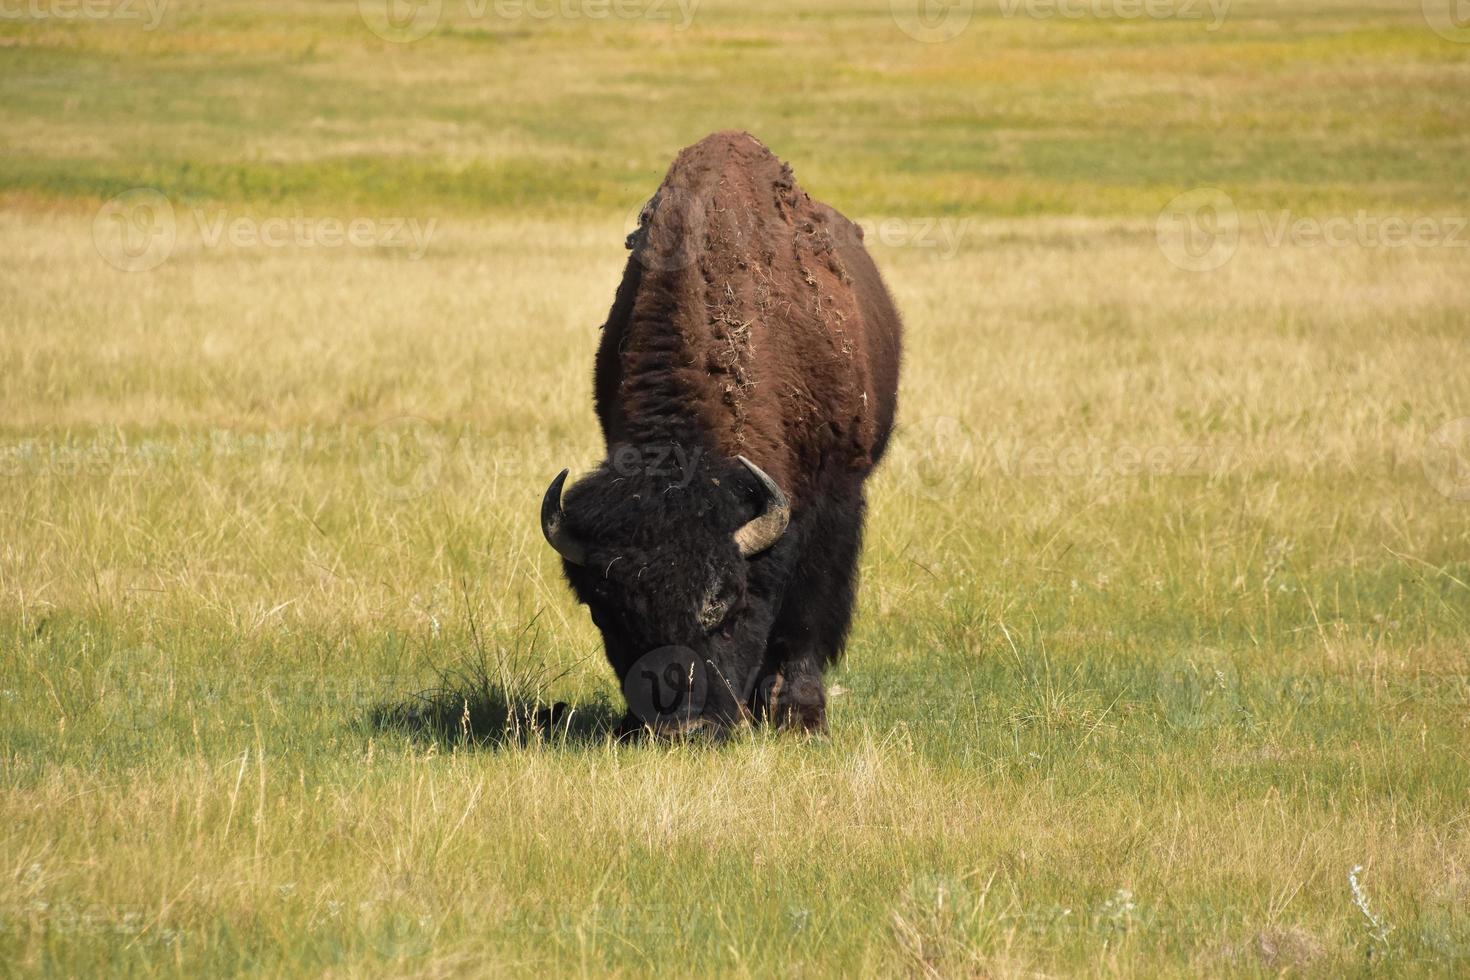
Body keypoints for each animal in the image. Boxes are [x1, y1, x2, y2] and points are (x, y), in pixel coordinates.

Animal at [546, 130, 899, 731]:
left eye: (728, 610)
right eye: (609, 618)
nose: (682, 726)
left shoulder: (834, 498)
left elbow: (808, 606)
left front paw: (799, 714)